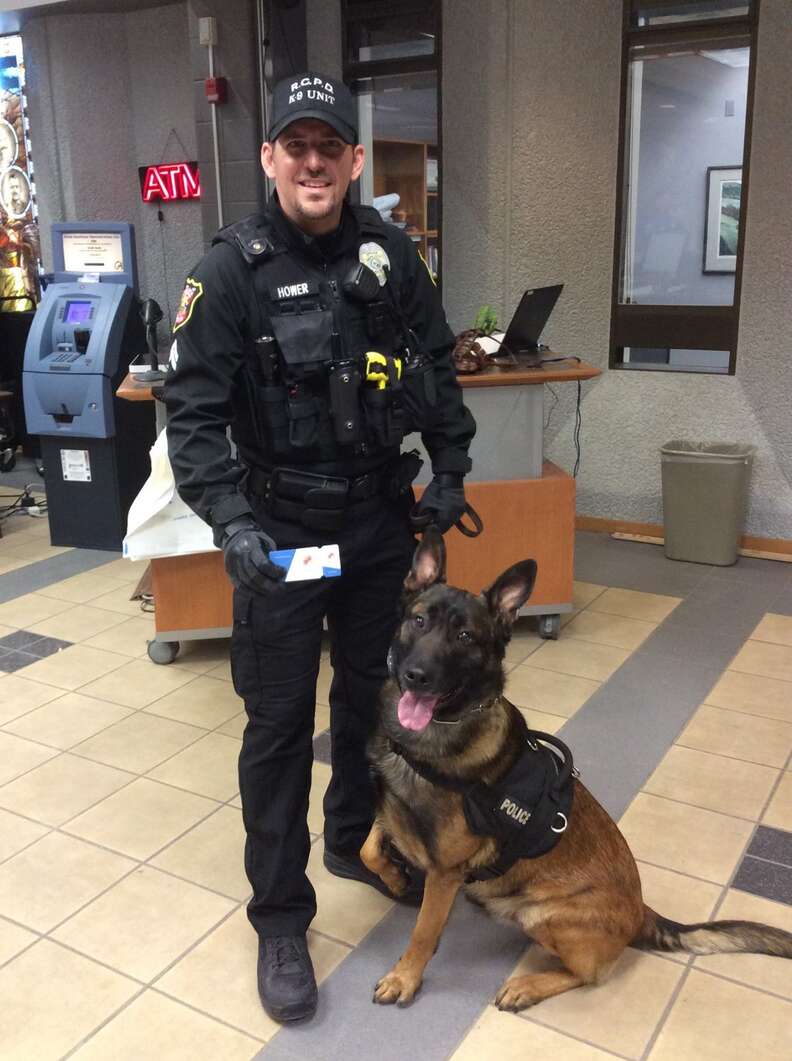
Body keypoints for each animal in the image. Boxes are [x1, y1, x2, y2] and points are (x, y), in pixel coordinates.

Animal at [360, 530, 789, 1010]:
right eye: (418, 621)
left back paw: (528, 985)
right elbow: (368, 848)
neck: (427, 742)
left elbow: (423, 932)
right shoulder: (390, 814)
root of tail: (641, 910)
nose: (416, 676)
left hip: (540, 913)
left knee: (590, 974)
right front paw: (393, 875)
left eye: (466, 636)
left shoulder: (445, 873)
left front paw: (405, 976)